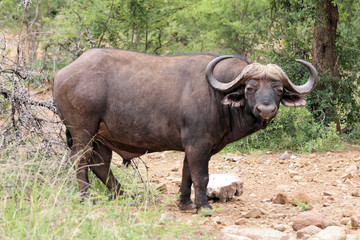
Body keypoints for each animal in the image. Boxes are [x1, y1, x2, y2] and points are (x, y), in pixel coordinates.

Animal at [52, 48, 316, 212]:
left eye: (279, 89)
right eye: (250, 88)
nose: (266, 109)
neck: (216, 96)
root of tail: (60, 74)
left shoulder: (194, 146)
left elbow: (187, 173)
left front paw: (186, 203)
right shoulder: (199, 144)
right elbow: (202, 176)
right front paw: (205, 206)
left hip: (101, 137)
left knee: (101, 164)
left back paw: (125, 196)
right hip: (83, 130)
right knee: (81, 160)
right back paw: (86, 198)